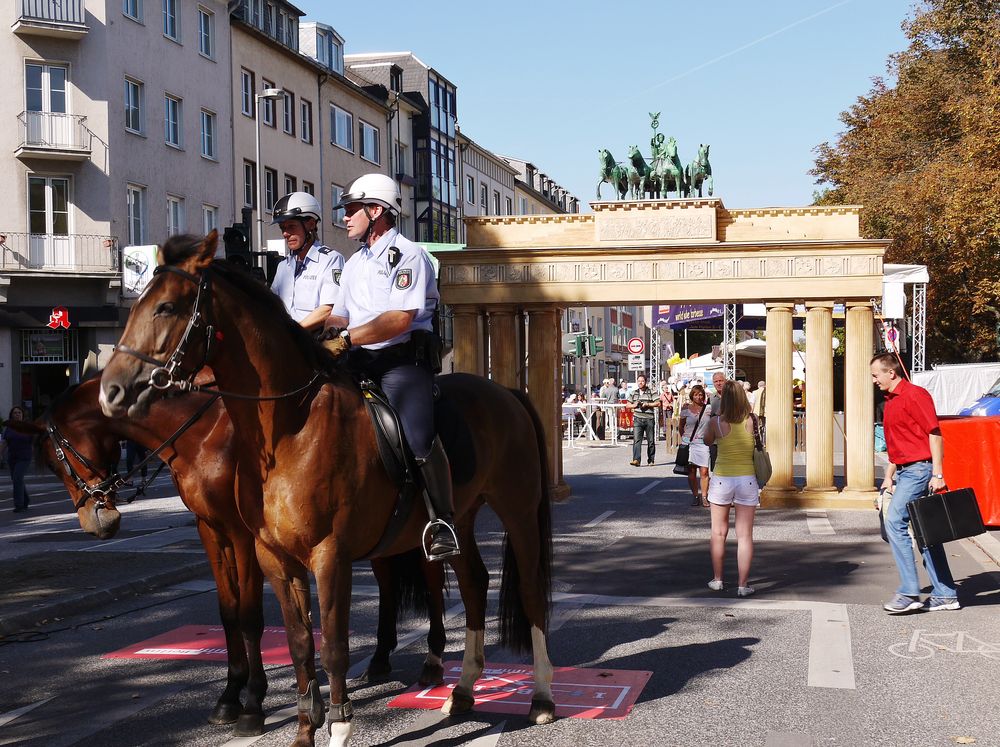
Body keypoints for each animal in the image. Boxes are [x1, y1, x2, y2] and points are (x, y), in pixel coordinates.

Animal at [28, 376, 450, 740]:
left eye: (54, 459)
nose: (95, 523)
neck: (203, 435)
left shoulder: (244, 537)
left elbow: (249, 617)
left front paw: (252, 704)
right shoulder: (211, 532)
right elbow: (228, 613)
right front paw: (230, 695)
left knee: (430, 581)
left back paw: (432, 661)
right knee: (387, 583)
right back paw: (379, 658)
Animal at [100, 231, 556, 744]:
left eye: (167, 307)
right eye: (139, 303)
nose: (111, 390)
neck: (288, 429)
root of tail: (508, 392)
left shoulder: (329, 556)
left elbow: (335, 645)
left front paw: (338, 726)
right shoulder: (274, 558)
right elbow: (301, 643)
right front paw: (304, 728)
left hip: (518, 510)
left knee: (532, 592)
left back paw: (541, 697)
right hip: (461, 517)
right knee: (474, 583)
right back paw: (461, 691)